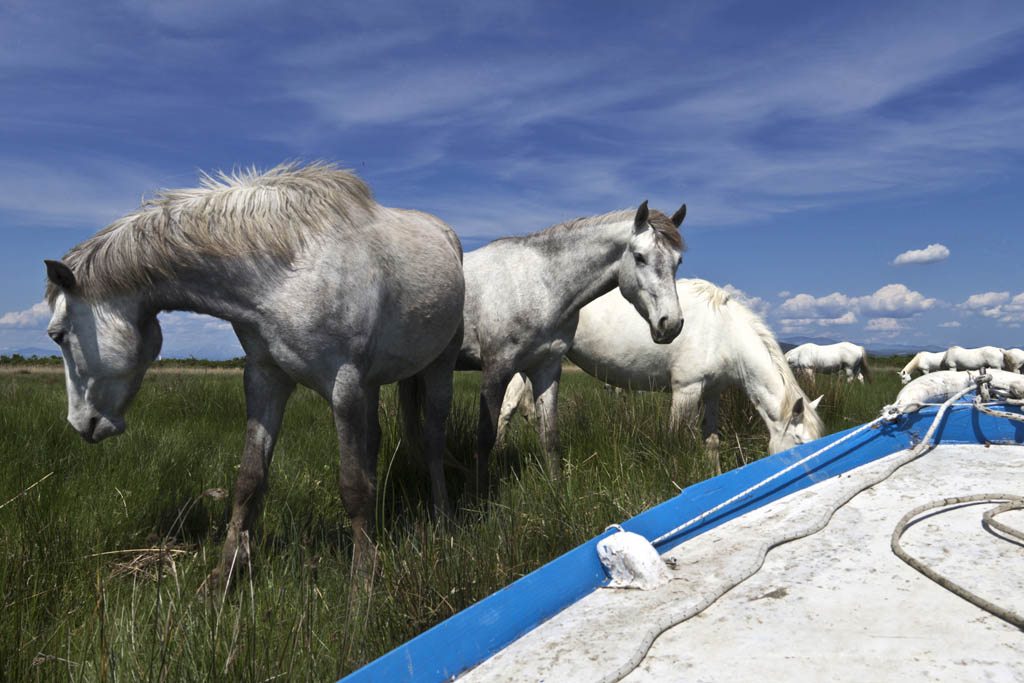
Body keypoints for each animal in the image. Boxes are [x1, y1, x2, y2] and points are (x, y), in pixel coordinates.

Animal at [44, 162, 464, 585]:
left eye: (57, 335)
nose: (80, 423)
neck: (287, 271)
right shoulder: (266, 378)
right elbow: (249, 479)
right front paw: (224, 575)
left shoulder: (343, 383)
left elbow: (352, 486)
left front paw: (361, 579)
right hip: (371, 383)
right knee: (374, 441)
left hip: (439, 366)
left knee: (433, 437)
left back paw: (442, 520)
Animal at [499, 278, 827, 475]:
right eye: (800, 442)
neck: (724, 331)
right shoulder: (686, 390)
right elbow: (674, 442)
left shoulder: (712, 392)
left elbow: (712, 441)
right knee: (506, 410)